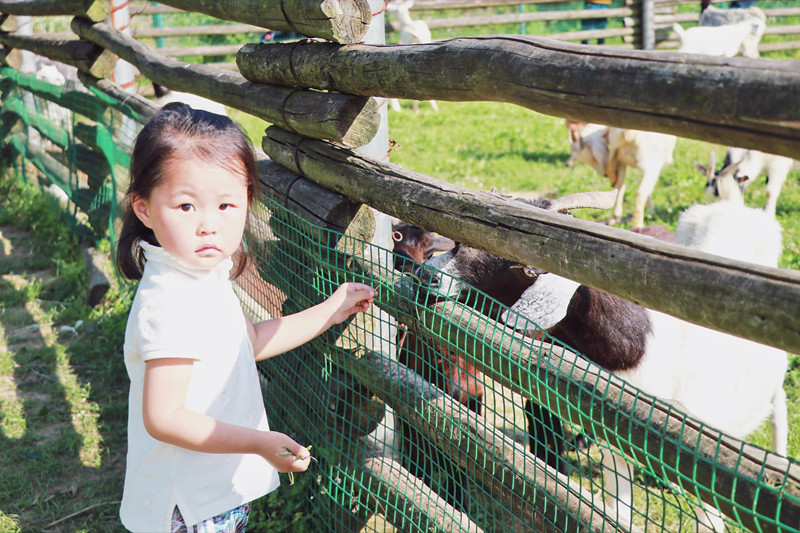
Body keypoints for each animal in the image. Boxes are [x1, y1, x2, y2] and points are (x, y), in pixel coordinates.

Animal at [418, 187, 788, 528]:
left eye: (525, 269)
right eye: (458, 240)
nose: (426, 275)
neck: (639, 352)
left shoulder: (711, 469)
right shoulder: (614, 449)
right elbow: (617, 513)